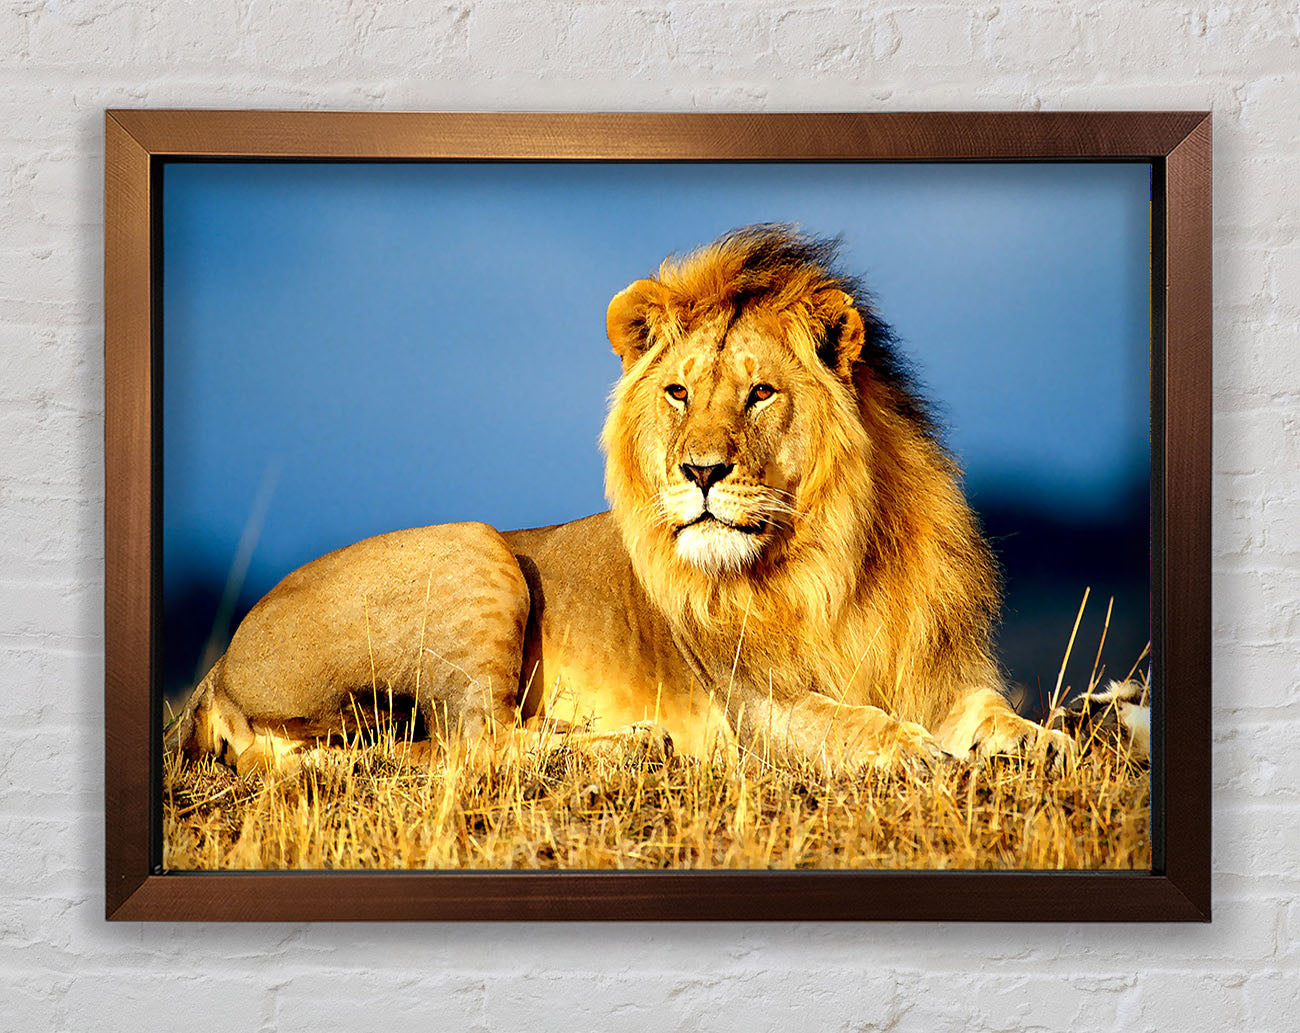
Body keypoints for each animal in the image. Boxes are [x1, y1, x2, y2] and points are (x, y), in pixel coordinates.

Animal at [166, 225, 1075, 776]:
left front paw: (1049, 742)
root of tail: (217, 669)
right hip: (474, 547)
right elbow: (851, 723)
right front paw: (916, 752)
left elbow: (992, 709)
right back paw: (633, 744)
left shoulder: (936, 669)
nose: (700, 471)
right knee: (475, 743)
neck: (835, 559)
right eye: (678, 392)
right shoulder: (755, 707)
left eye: (760, 393)